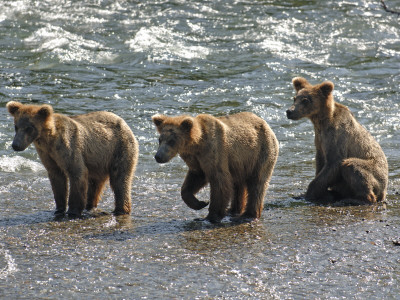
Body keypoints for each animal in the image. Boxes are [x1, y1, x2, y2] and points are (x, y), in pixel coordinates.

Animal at [5, 101, 138, 218]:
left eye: (29, 127)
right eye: (16, 126)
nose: (15, 145)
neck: (48, 140)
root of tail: (124, 122)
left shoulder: (67, 146)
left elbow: (77, 173)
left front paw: (73, 211)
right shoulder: (47, 155)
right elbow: (57, 178)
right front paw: (59, 209)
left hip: (119, 147)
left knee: (120, 178)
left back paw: (120, 209)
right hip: (99, 159)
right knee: (95, 183)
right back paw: (90, 206)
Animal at [152, 112, 280, 223]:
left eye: (171, 141)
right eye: (160, 139)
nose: (158, 156)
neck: (197, 144)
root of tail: (265, 123)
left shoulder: (214, 150)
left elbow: (219, 181)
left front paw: (210, 216)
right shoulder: (195, 159)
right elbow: (195, 178)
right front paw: (200, 203)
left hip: (261, 151)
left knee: (257, 183)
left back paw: (247, 215)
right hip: (240, 163)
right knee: (238, 184)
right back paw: (233, 210)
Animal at [286, 76, 390, 205]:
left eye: (305, 100)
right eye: (294, 98)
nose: (289, 111)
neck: (321, 122)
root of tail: (385, 191)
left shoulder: (336, 136)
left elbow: (334, 162)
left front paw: (308, 194)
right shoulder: (319, 139)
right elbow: (320, 163)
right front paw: (312, 193)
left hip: (376, 173)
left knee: (352, 166)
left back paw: (354, 199)